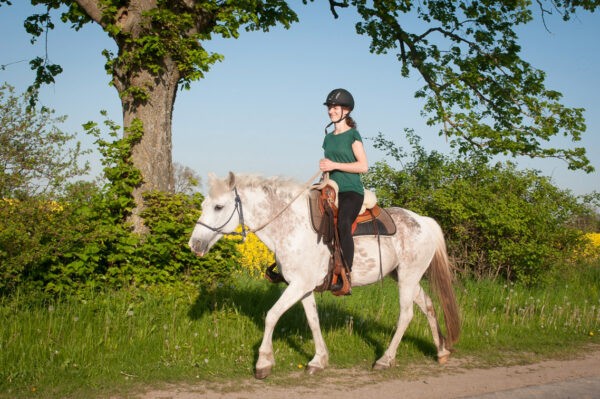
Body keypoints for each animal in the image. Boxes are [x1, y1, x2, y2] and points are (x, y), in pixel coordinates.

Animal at [190, 173, 462, 380]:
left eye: (218, 206)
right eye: (204, 205)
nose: (195, 244)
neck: (291, 226)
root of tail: (423, 221)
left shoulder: (298, 285)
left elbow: (271, 316)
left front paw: (263, 363)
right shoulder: (304, 287)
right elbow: (313, 321)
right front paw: (318, 360)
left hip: (407, 277)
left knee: (406, 315)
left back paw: (385, 359)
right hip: (407, 278)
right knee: (428, 306)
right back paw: (441, 351)